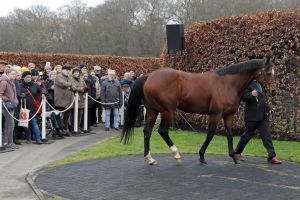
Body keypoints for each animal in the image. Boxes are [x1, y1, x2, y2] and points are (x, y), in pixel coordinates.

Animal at [120, 57, 276, 164]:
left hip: (153, 111)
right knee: (162, 131)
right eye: (268, 73)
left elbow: (230, 135)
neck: (227, 83)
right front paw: (201, 156)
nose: (274, 91)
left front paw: (234, 156)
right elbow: (210, 135)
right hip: (167, 111)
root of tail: (149, 77)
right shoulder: (215, 114)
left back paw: (150, 158)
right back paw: (176, 153)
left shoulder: (228, 115)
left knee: (147, 131)